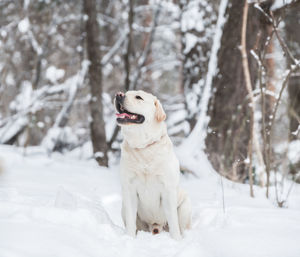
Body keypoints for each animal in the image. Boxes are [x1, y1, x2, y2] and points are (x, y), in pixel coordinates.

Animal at [113, 89, 191, 238]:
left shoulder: (167, 189)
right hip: (123, 208)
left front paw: (176, 240)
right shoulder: (129, 189)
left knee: (182, 226)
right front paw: (130, 238)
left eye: (139, 97)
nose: (118, 94)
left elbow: (173, 222)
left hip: (184, 206)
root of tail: (156, 226)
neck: (144, 147)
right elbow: (131, 221)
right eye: (126, 92)